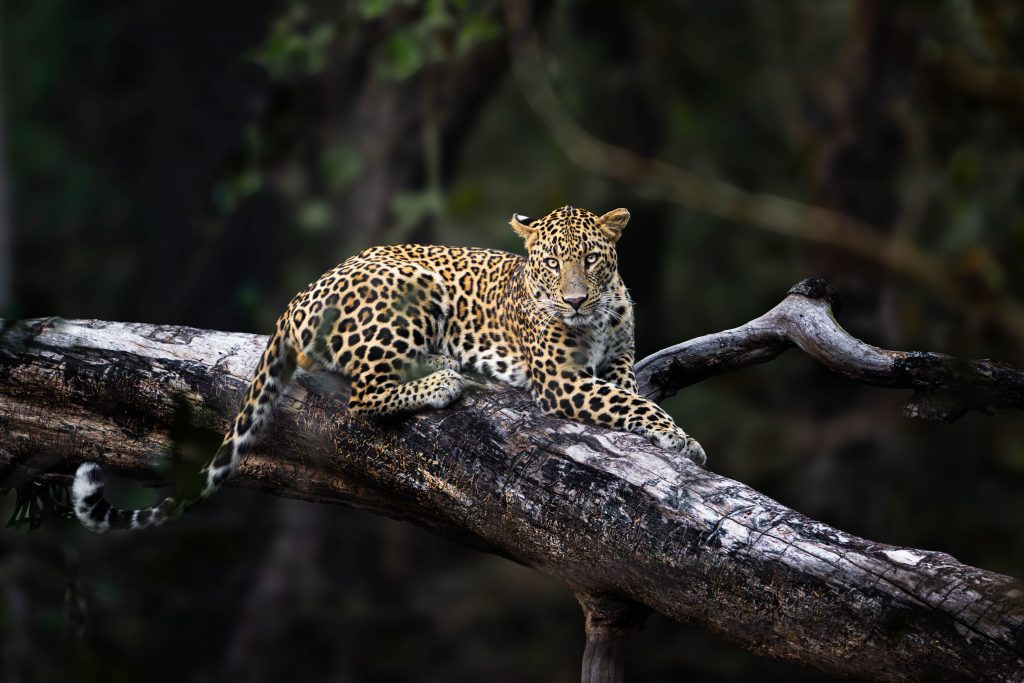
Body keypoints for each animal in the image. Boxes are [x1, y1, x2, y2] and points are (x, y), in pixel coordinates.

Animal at [72, 204, 708, 532]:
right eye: (551, 264)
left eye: (592, 259)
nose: (574, 301)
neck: (597, 317)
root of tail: (296, 298)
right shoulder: (560, 379)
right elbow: (629, 404)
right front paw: (683, 441)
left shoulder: (616, 363)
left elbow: (630, 392)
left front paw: (673, 436)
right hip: (410, 286)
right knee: (362, 396)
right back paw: (445, 376)